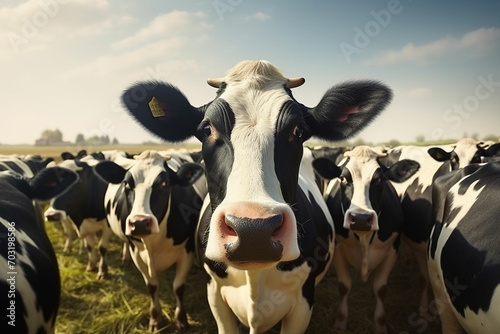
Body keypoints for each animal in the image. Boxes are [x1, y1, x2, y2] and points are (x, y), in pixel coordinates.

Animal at [94, 151, 206, 332]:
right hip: (109, 225)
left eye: (164, 183)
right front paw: (155, 320)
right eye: (127, 184)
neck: (154, 243)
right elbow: (152, 287)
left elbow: (178, 287)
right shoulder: (137, 253)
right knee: (104, 247)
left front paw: (181, 320)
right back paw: (106, 269)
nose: (139, 223)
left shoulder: (186, 251)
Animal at [314, 146, 420, 334]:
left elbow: (380, 288)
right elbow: (344, 286)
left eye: (379, 180)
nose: (361, 219)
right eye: (343, 178)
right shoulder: (338, 250)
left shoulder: (393, 248)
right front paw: (340, 323)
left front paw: (380, 324)